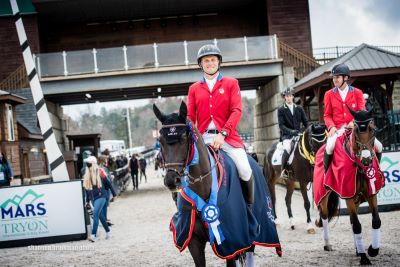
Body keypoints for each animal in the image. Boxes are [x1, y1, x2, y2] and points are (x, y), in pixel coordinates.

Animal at [154, 102, 282, 267]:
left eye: (183, 138)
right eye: (161, 141)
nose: (171, 180)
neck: (203, 187)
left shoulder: (232, 241)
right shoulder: (193, 240)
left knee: (249, 253)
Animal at [314, 108, 382, 266]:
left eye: (373, 130)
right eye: (356, 132)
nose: (367, 160)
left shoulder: (371, 193)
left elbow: (376, 221)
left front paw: (372, 250)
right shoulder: (348, 194)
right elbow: (357, 225)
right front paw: (364, 257)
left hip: (356, 199)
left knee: (352, 219)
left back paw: (357, 249)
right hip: (324, 195)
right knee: (325, 216)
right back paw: (327, 244)